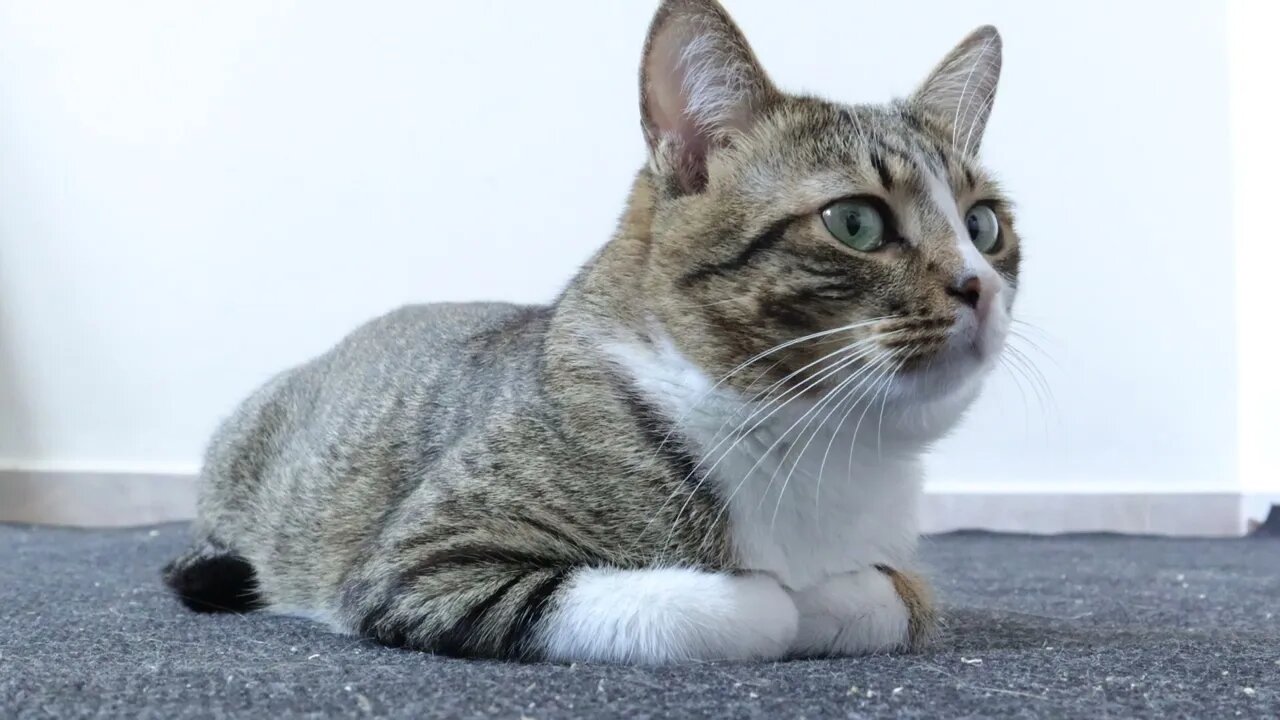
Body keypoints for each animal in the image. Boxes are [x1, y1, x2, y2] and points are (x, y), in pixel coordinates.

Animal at [162, 0, 1018, 661]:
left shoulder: (893, 562)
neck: (819, 445)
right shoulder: (422, 564)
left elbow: (896, 597)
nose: (980, 285)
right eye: (855, 222)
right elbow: (748, 605)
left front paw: (837, 596)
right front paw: (785, 600)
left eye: (984, 225)